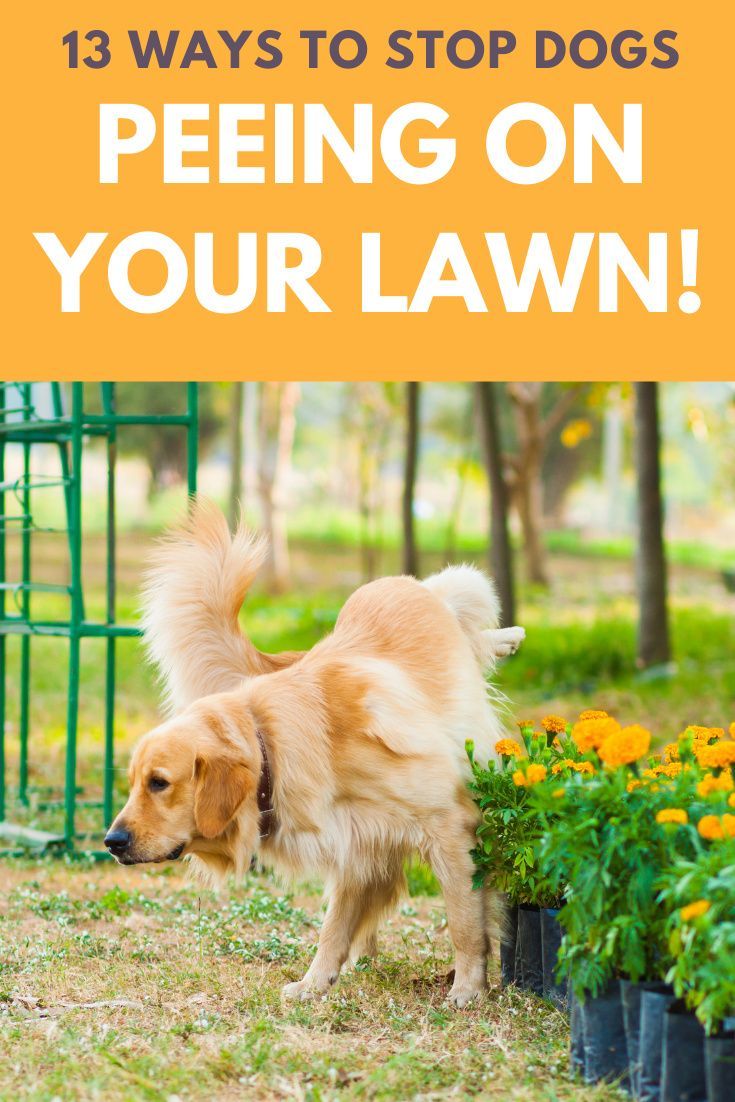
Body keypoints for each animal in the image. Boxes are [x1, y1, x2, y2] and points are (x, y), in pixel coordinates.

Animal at [106, 504, 526, 1005]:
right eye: (134, 784)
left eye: (159, 783)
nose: (111, 842)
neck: (270, 743)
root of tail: (395, 583)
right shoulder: (358, 844)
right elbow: (334, 927)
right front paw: (314, 982)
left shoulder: (447, 825)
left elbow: (464, 919)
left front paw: (468, 987)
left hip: (452, 604)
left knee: (463, 599)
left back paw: (509, 635)